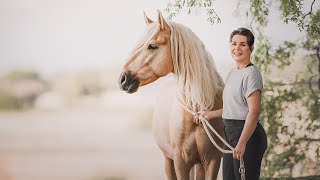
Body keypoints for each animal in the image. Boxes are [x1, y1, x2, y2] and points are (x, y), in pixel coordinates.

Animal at [118, 10, 225, 179]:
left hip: (199, 164)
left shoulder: (213, 161)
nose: (122, 79)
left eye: (152, 46)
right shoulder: (181, 163)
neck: (197, 110)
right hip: (168, 160)